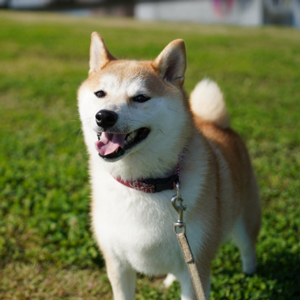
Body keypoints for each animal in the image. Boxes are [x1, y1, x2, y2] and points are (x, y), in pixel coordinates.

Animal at [77, 32, 260, 300]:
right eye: (100, 93)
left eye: (140, 98)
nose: (104, 116)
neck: (142, 185)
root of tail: (213, 123)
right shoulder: (118, 265)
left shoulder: (197, 266)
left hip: (245, 219)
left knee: (248, 249)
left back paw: (250, 275)